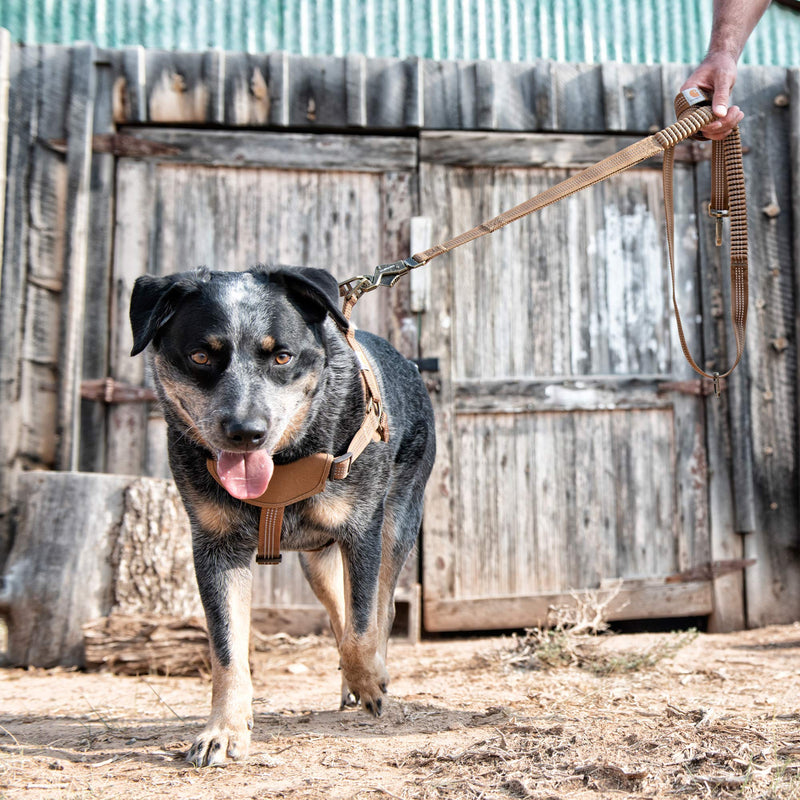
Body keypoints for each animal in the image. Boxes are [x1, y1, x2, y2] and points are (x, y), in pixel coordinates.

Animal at [128, 266, 434, 764]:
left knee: (381, 608)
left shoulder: (361, 532)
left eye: (282, 356)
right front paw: (223, 730)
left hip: (399, 519)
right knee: (337, 610)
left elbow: (363, 627)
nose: (245, 432)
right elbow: (227, 648)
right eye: (200, 356)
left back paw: (372, 673)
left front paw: (371, 683)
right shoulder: (214, 547)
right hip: (315, 561)